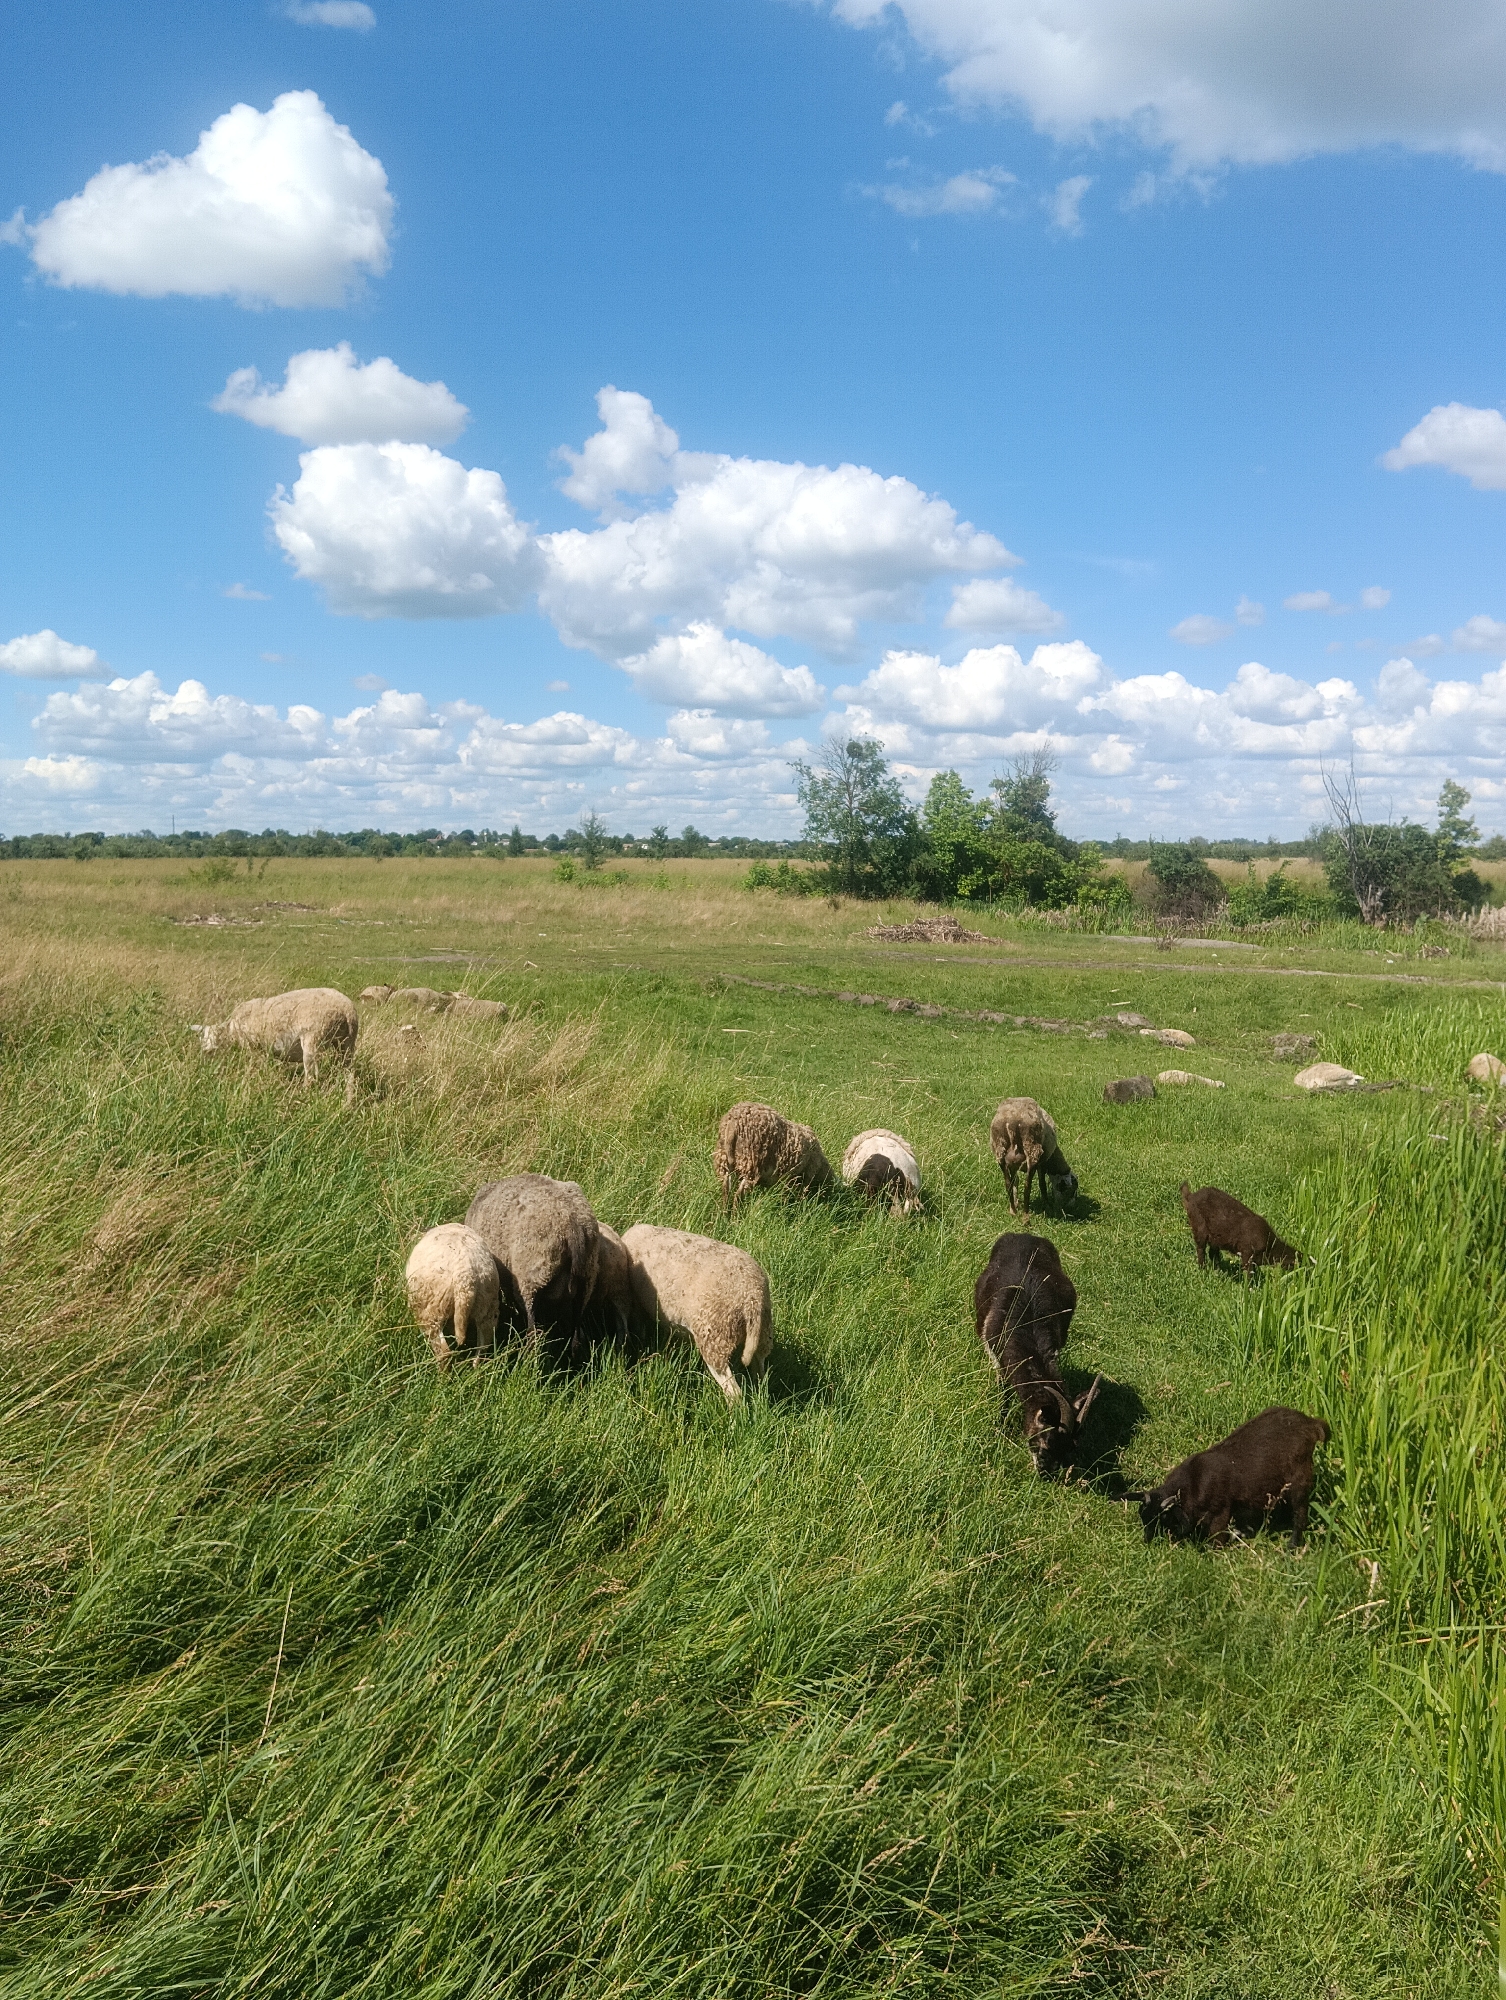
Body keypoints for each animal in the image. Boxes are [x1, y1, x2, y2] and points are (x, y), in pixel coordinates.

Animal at [191, 987, 358, 1086]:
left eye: (214, 1036)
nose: (205, 1051)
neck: (232, 1029)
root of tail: (346, 1009)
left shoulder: (251, 1046)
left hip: (314, 1037)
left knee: (311, 1076)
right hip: (347, 1043)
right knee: (349, 1074)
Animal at [405, 1223, 500, 1369]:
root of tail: (465, 1276)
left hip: (431, 1308)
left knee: (444, 1352)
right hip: (487, 1306)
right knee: (483, 1346)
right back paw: (476, 1369)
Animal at [620, 1223, 773, 1403]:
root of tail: (752, 1298)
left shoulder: (636, 1303)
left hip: (715, 1337)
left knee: (733, 1391)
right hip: (763, 1331)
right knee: (761, 1372)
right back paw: (760, 1397)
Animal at [974, 1231, 1101, 1475]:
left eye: (1070, 1447)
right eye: (1046, 1440)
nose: (1046, 1473)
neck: (1027, 1327)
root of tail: (1025, 1234)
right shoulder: (998, 1358)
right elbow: (1004, 1393)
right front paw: (1000, 1427)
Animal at [1128, 1406, 1329, 1549]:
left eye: (1163, 1518)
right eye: (1143, 1515)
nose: (1147, 1541)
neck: (1192, 1483)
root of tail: (1311, 1423)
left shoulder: (1220, 1512)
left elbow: (1216, 1537)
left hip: (1299, 1481)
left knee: (1300, 1514)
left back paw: (1291, 1547)